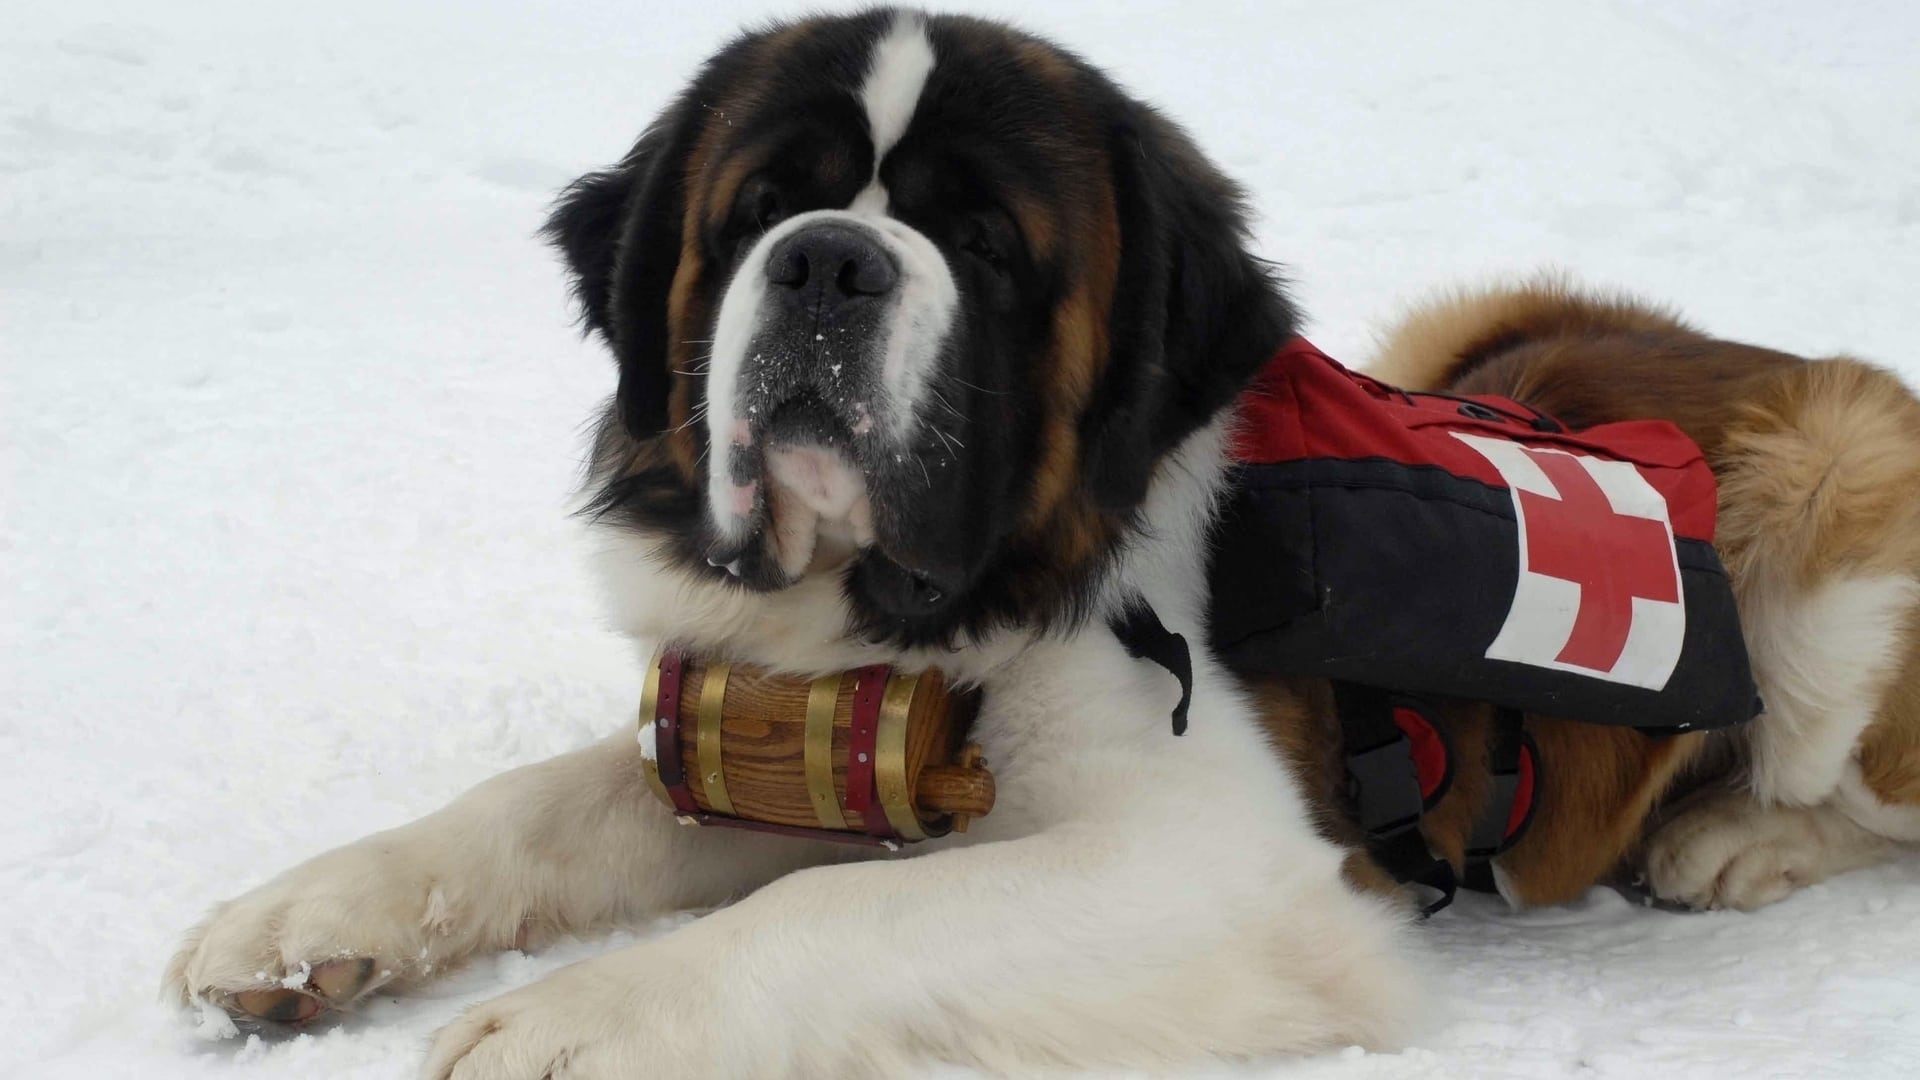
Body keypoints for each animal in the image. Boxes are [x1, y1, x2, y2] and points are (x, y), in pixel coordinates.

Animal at [168, 6, 1920, 1068]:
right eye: (759, 211)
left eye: (989, 246)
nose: (829, 263)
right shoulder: (804, 740)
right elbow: (541, 805)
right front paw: (310, 922)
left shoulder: (1222, 865)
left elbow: (834, 912)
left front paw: (586, 1019)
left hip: (1835, 494)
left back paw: (1739, 836)